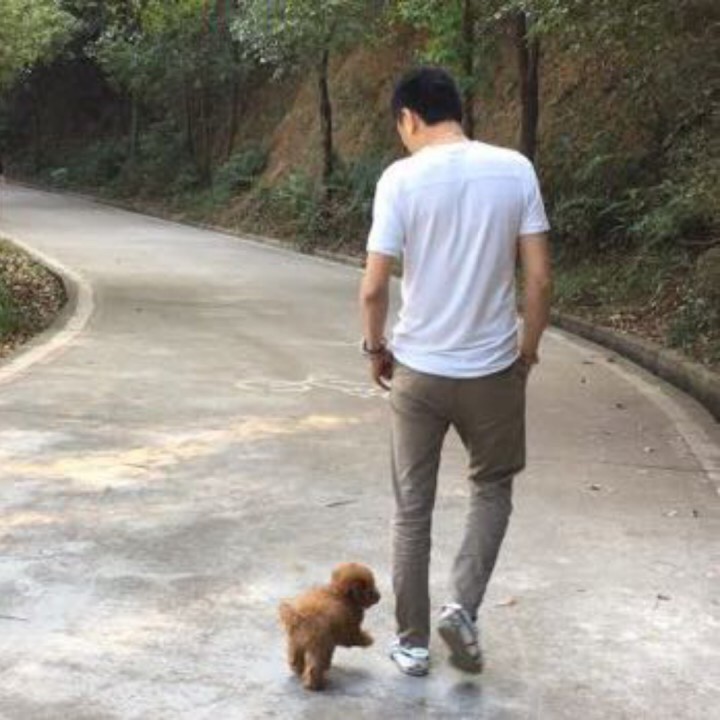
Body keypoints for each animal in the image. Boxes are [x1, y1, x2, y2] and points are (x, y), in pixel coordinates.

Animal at [278, 562, 381, 690]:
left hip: (296, 642)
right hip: (318, 645)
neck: (338, 593)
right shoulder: (350, 627)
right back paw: (315, 685)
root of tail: (299, 617)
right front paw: (368, 640)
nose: (379, 596)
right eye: (369, 589)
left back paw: (299, 669)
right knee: (314, 667)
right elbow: (353, 637)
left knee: (295, 657)